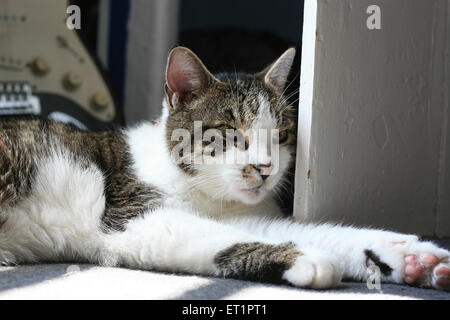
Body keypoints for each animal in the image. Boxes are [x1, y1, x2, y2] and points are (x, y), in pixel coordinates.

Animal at [0, 46, 448, 292]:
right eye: (232, 134)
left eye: (282, 135)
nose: (265, 167)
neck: (200, 190)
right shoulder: (131, 217)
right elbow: (220, 238)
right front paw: (305, 258)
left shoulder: (244, 215)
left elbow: (311, 231)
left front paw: (413, 257)